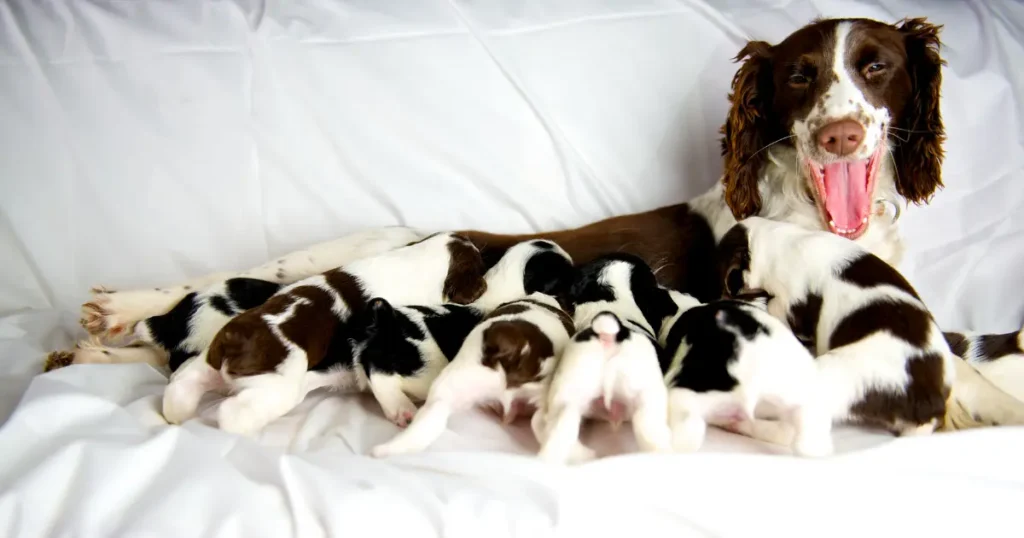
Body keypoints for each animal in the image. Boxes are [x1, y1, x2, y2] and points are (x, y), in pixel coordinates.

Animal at [161, 232, 489, 434]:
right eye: (477, 266)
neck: (418, 258)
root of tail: (234, 338)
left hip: (206, 363)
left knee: (183, 382)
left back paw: (176, 414)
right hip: (275, 388)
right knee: (234, 412)